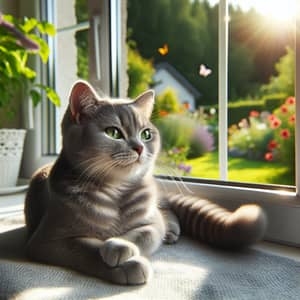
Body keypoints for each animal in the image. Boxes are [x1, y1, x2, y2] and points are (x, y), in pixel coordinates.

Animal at [24, 81, 268, 284]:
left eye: (147, 134)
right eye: (113, 132)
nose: (140, 148)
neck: (116, 192)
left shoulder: (151, 224)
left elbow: (143, 234)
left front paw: (119, 246)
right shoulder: (48, 240)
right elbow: (85, 249)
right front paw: (123, 262)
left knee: (165, 211)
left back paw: (171, 230)